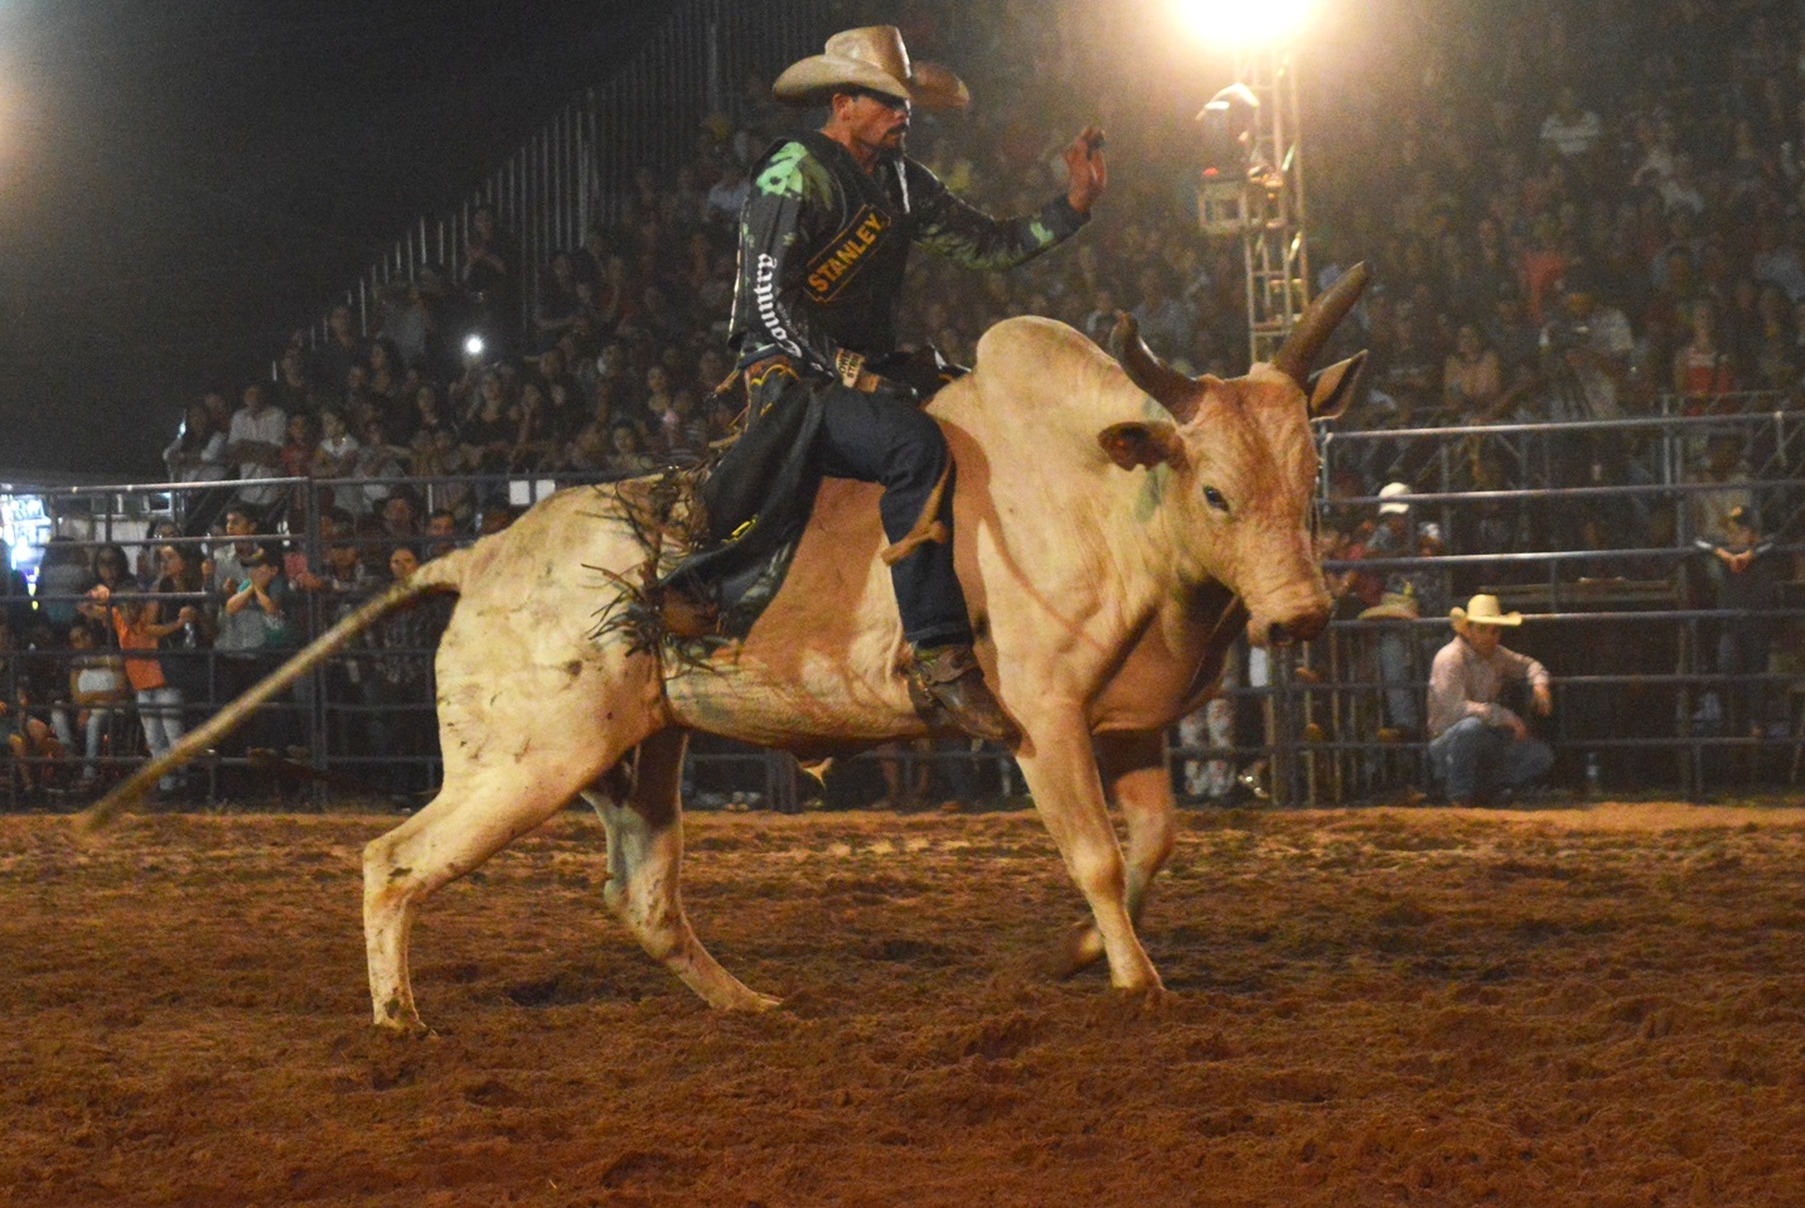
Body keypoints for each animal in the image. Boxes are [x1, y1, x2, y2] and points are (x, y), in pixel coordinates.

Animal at [81, 261, 1364, 1025]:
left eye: (1309, 474)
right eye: (1212, 490)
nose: (1301, 614)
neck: (1102, 487)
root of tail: (479, 557)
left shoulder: (1131, 726)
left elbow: (1148, 846)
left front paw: (1076, 956)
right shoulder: (1041, 719)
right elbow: (1097, 855)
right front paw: (1135, 978)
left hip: (636, 757)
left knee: (643, 896)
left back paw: (749, 1005)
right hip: (524, 761)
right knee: (392, 858)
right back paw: (402, 1019)